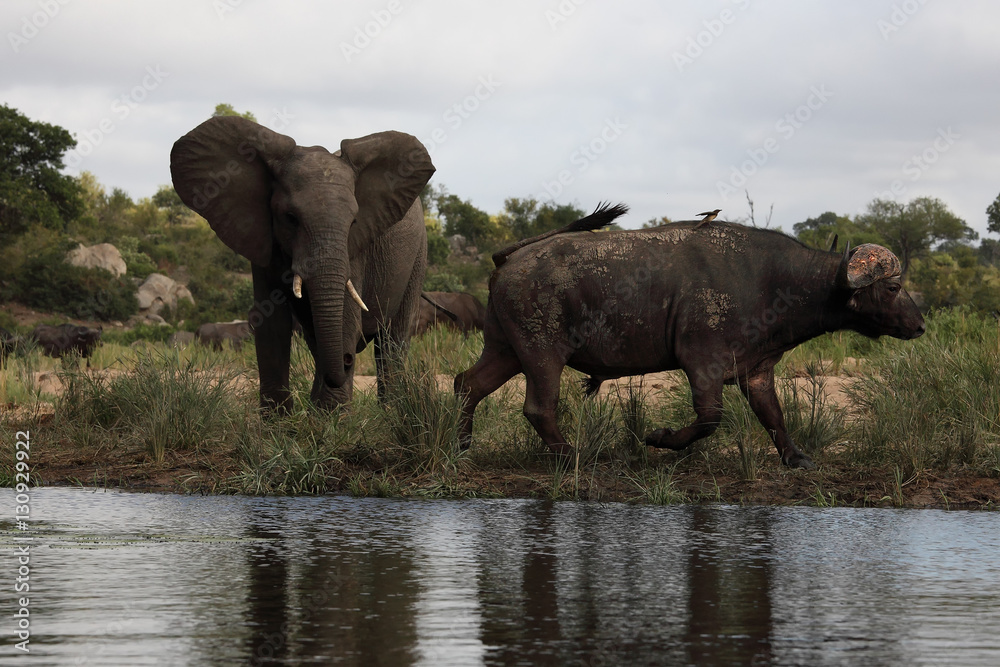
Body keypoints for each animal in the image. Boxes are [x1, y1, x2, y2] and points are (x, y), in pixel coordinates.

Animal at [170, 117, 435, 411]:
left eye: (354, 222)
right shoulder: (264, 240)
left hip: (418, 257)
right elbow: (270, 320)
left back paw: (389, 411)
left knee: (392, 340)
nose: (347, 360)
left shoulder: (355, 250)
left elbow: (345, 321)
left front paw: (329, 418)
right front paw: (280, 419)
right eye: (290, 217)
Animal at [455, 203, 925, 469]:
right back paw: (572, 456)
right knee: (538, 407)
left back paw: (461, 446)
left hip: (505, 349)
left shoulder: (756, 370)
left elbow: (773, 416)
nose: (920, 325)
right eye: (893, 288)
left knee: (466, 384)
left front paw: (796, 458)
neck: (775, 281)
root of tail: (511, 258)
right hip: (541, 352)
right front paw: (659, 439)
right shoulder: (702, 363)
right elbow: (710, 419)